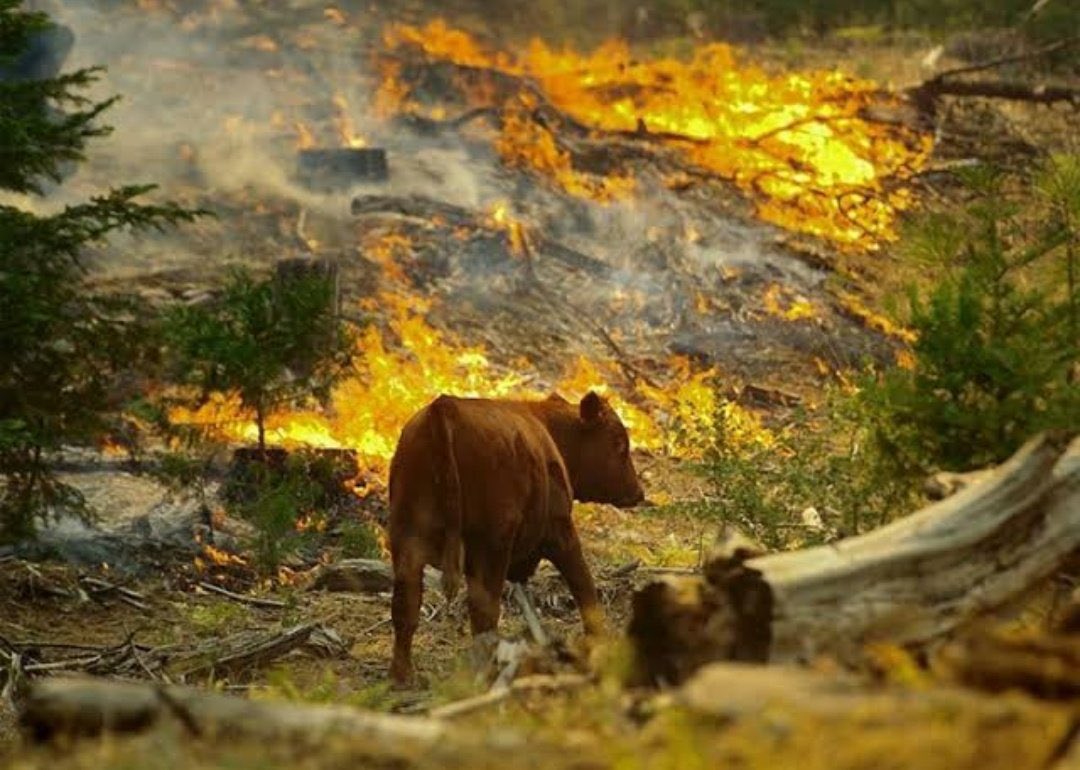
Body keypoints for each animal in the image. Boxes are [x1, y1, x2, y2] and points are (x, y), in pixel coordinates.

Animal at [386, 393, 639, 682]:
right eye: (619, 443)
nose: (638, 493)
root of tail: (444, 408)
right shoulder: (560, 531)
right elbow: (584, 586)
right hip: (491, 548)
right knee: (484, 612)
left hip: (406, 542)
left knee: (405, 607)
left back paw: (402, 675)